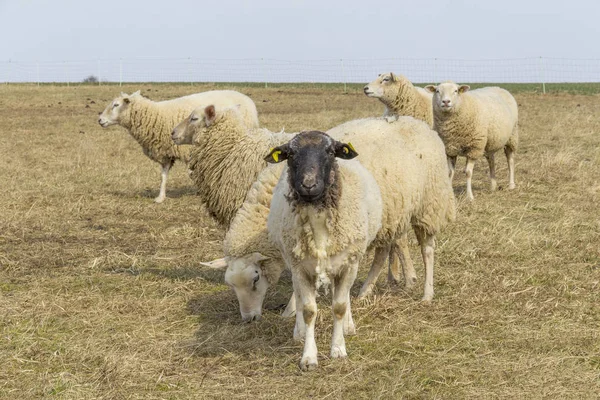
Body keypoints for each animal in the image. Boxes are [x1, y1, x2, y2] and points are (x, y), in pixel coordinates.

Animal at [97, 90, 258, 203]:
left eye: (116, 105)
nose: (100, 120)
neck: (155, 116)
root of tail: (248, 99)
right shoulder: (165, 153)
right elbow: (163, 176)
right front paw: (160, 197)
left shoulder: (189, 151)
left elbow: (192, 173)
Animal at [264, 132, 382, 372]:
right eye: (291, 153)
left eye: (329, 151)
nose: (309, 184)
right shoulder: (301, 268)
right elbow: (309, 310)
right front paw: (309, 357)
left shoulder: (348, 264)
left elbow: (339, 306)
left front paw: (338, 349)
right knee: (298, 296)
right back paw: (299, 331)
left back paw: (348, 326)